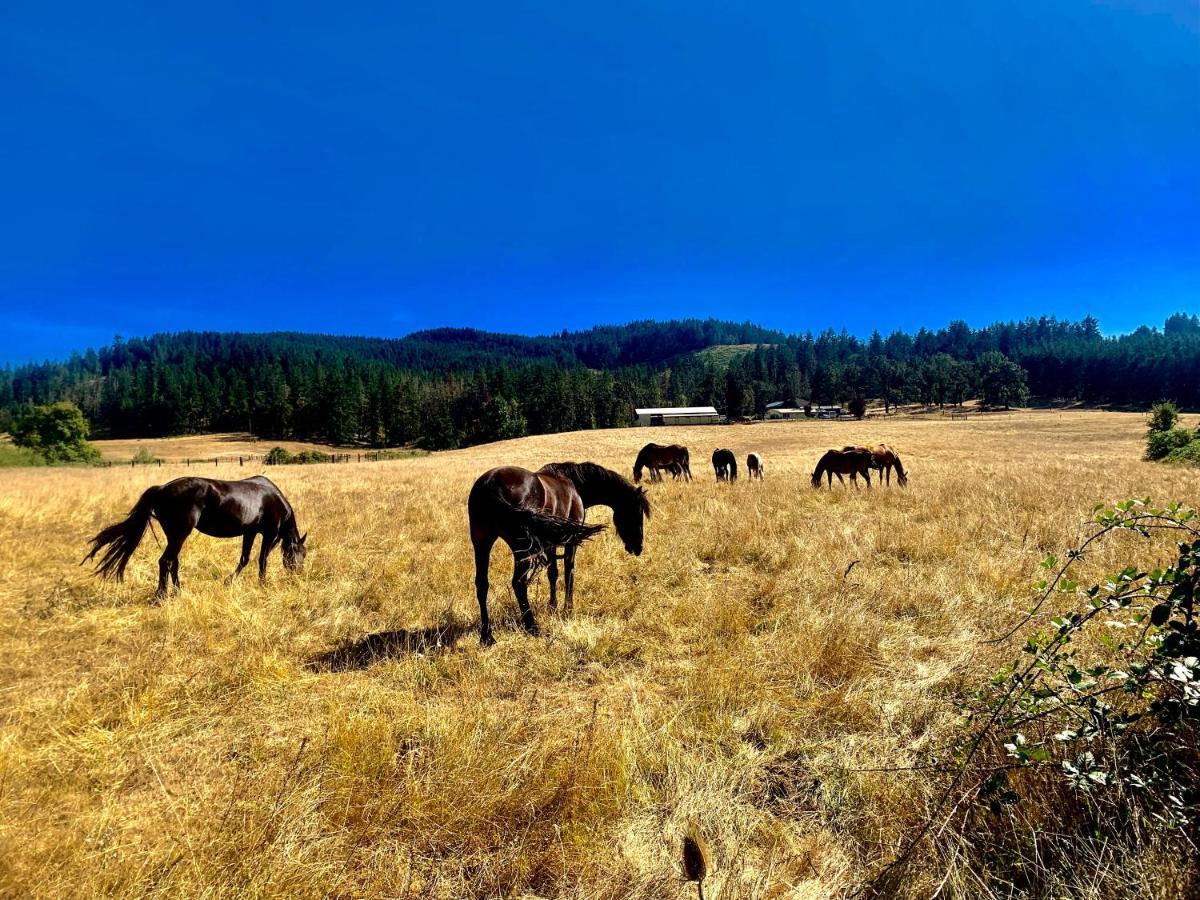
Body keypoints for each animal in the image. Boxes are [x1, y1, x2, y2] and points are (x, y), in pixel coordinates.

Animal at [84, 475, 307, 602]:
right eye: (302, 554)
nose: (298, 575)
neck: (273, 499)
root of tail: (162, 489)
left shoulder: (250, 533)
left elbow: (245, 559)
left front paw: (229, 581)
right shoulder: (268, 535)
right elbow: (262, 560)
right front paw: (263, 583)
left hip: (174, 536)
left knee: (173, 562)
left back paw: (178, 591)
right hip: (180, 534)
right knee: (166, 561)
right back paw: (161, 596)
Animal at [470, 460, 657, 643]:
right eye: (637, 513)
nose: (638, 547)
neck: (573, 484)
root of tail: (491, 484)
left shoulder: (550, 542)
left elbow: (553, 573)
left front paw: (552, 607)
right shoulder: (570, 542)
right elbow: (569, 572)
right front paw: (568, 609)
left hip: (482, 543)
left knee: (482, 584)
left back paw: (487, 636)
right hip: (521, 549)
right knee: (519, 583)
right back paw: (532, 627)